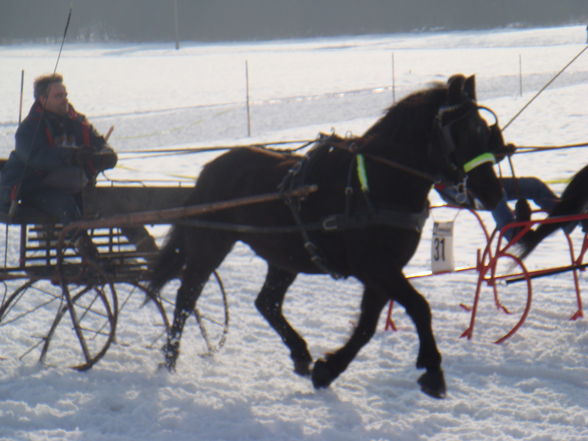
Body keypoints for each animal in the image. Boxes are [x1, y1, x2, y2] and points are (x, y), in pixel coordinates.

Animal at [149, 74, 504, 398]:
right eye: (466, 131)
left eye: (486, 130)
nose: (493, 192)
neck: (377, 183)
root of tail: (210, 169)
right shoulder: (376, 268)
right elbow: (419, 307)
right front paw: (432, 370)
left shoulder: (381, 272)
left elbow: (366, 327)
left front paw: (327, 369)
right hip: (211, 245)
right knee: (186, 298)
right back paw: (169, 359)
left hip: (285, 257)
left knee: (267, 302)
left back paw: (300, 353)